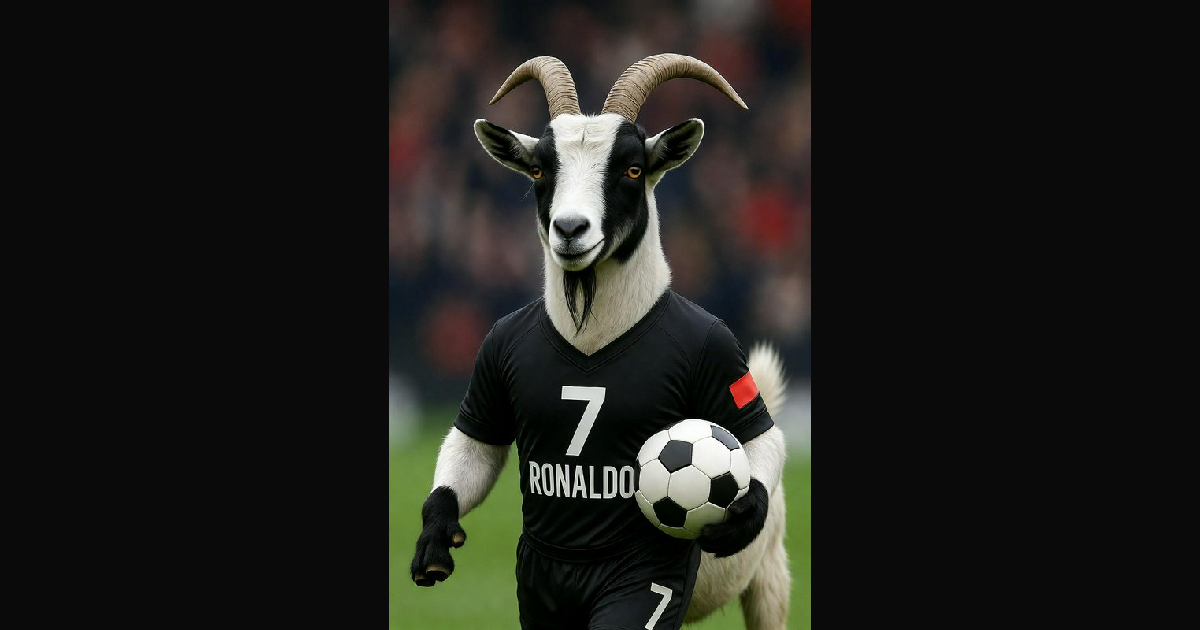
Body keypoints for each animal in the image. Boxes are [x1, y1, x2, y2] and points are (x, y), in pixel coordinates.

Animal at [412, 54, 791, 630]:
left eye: (632, 169)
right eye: (541, 170)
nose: (571, 229)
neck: (593, 331)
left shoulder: (717, 352)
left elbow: (759, 439)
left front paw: (739, 515)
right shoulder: (492, 356)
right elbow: (475, 446)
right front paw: (436, 537)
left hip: (769, 581)